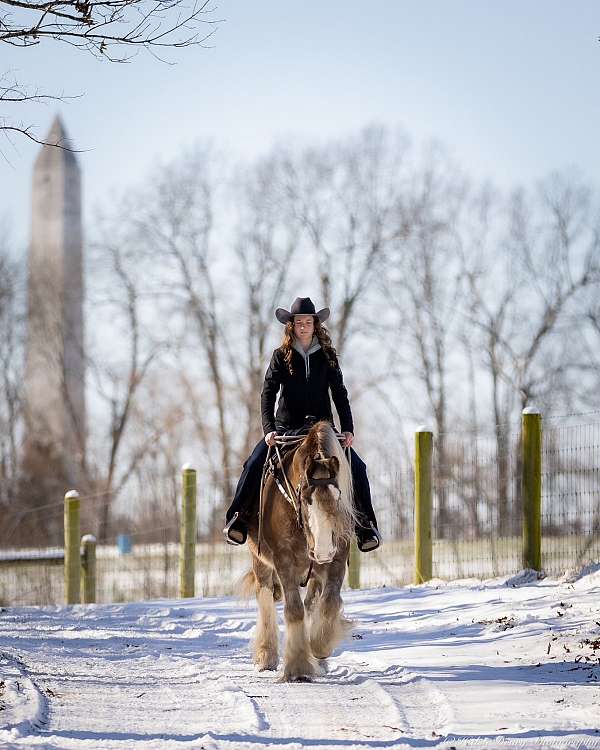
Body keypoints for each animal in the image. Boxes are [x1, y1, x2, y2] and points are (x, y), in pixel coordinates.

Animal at [240, 420, 356, 684]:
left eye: (338, 496)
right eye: (305, 498)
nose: (322, 550)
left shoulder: (337, 559)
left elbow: (329, 602)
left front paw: (319, 648)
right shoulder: (283, 561)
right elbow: (293, 610)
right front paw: (298, 668)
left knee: (313, 602)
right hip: (260, 562)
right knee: (265, 598)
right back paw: (267, 656)